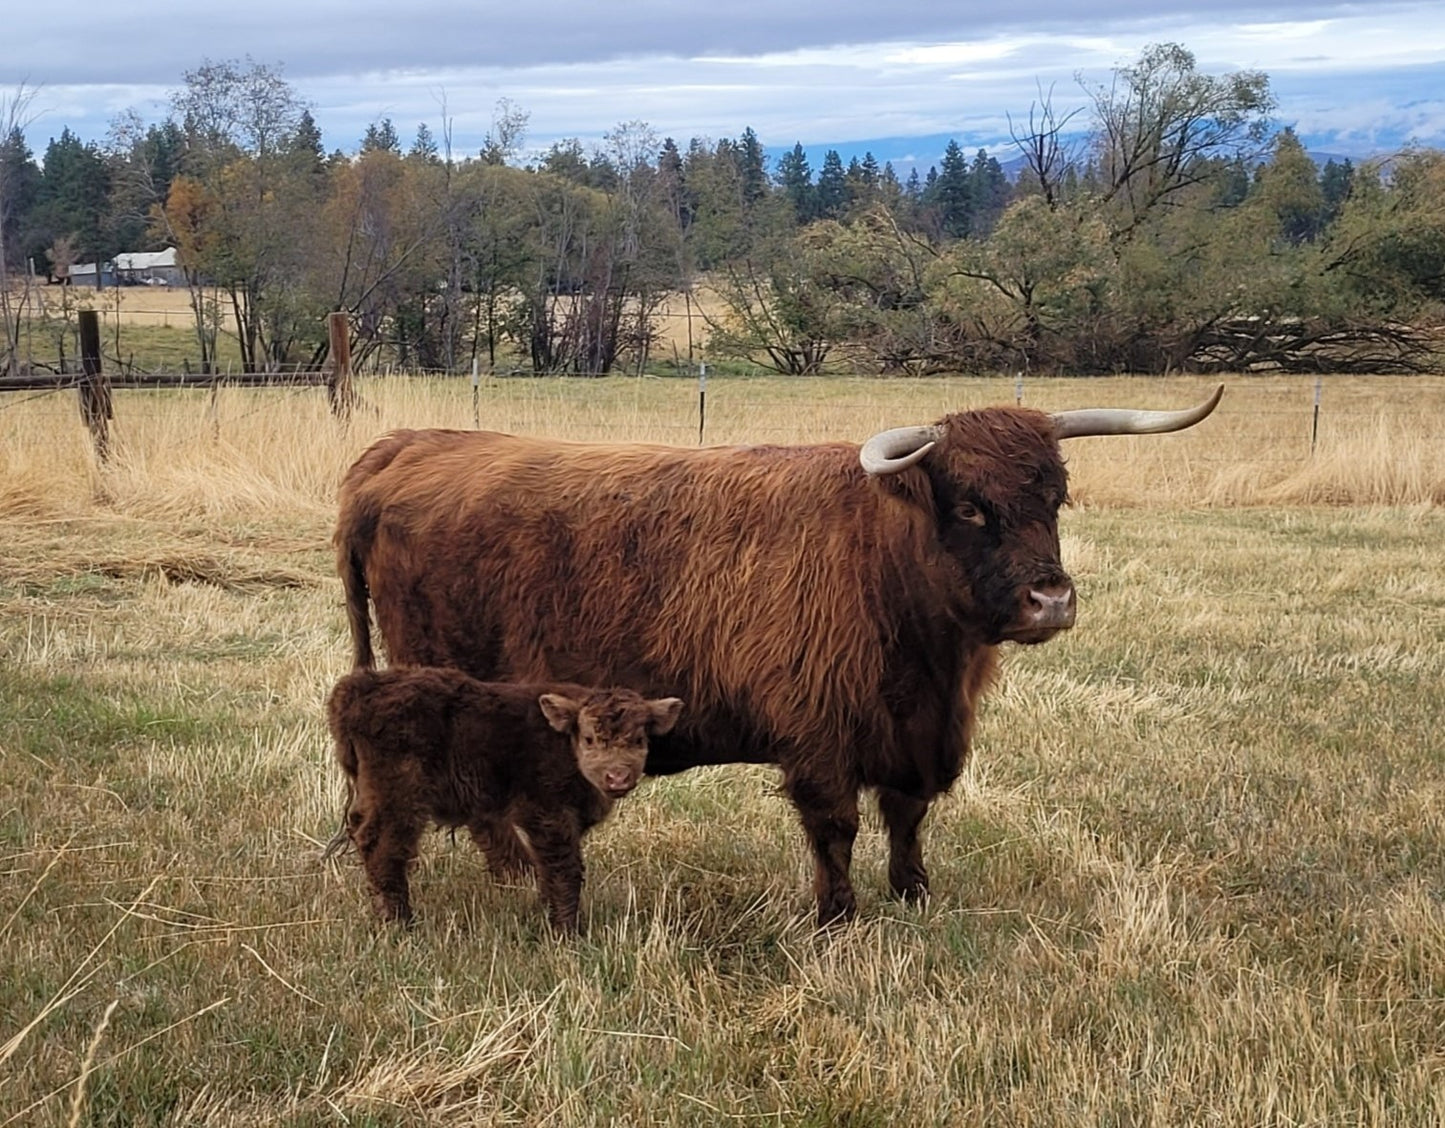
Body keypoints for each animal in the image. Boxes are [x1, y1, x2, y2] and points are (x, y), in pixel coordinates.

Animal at [330, 664, 684, 930]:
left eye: (639, 739)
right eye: (589, 738)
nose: (617, 776)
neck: (563, 744)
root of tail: (362, 687)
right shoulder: (547, 815)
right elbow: (565, 870)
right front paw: (566, 931)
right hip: (400, 797)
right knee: (384, 847)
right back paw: (401, 923)